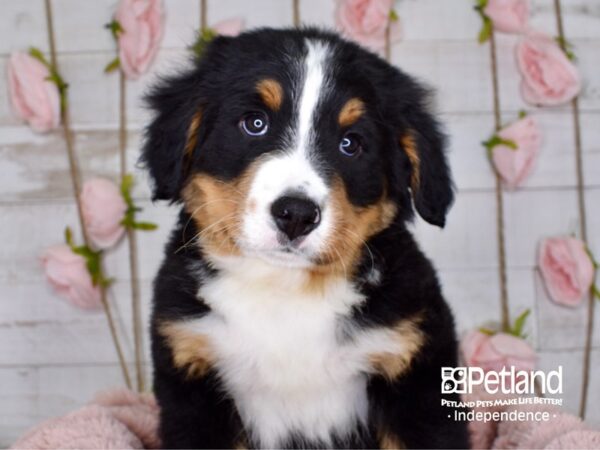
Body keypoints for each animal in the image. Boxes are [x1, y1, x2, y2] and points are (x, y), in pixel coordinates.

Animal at [144, 28, 468, 450]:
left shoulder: (416, 379)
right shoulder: (192, 377)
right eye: (255, 123)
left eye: (351, 143)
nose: (296, 214)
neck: (287, 291)